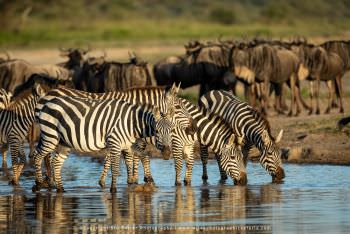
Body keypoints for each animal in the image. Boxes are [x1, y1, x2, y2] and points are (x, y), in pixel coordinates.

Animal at [32, 95, 183, 192]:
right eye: (156, 131)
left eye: (172, 130)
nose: (167, 153)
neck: (132, 123)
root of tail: (47, 102)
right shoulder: (115, 142)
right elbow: (115, 168)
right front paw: (113, 190)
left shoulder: (128, 145)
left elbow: (140, 159)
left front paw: (144, 181)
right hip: (50, 136)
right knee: (37, 157)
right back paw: (39, 184)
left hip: (64, 142)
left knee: (56, 162)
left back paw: (60, 189)